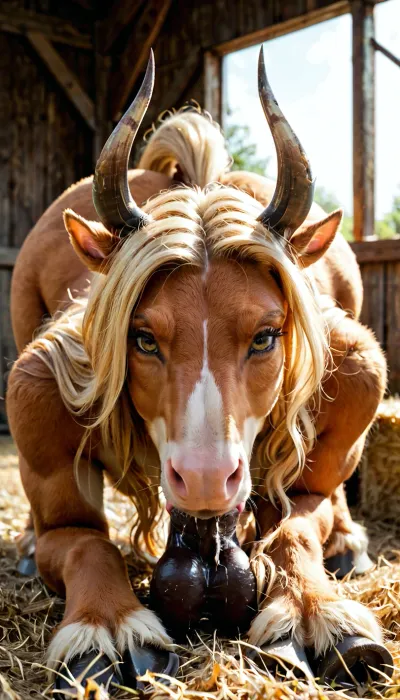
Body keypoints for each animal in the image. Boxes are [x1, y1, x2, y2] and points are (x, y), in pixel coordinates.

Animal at [7, 49, 386, 678]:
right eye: (143, 338)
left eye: (265, 335)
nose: (207, 478)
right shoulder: (38, 392)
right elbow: (83, 539)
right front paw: (106, 624)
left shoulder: (357, 372)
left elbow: (297, 525)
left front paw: (315, 609)